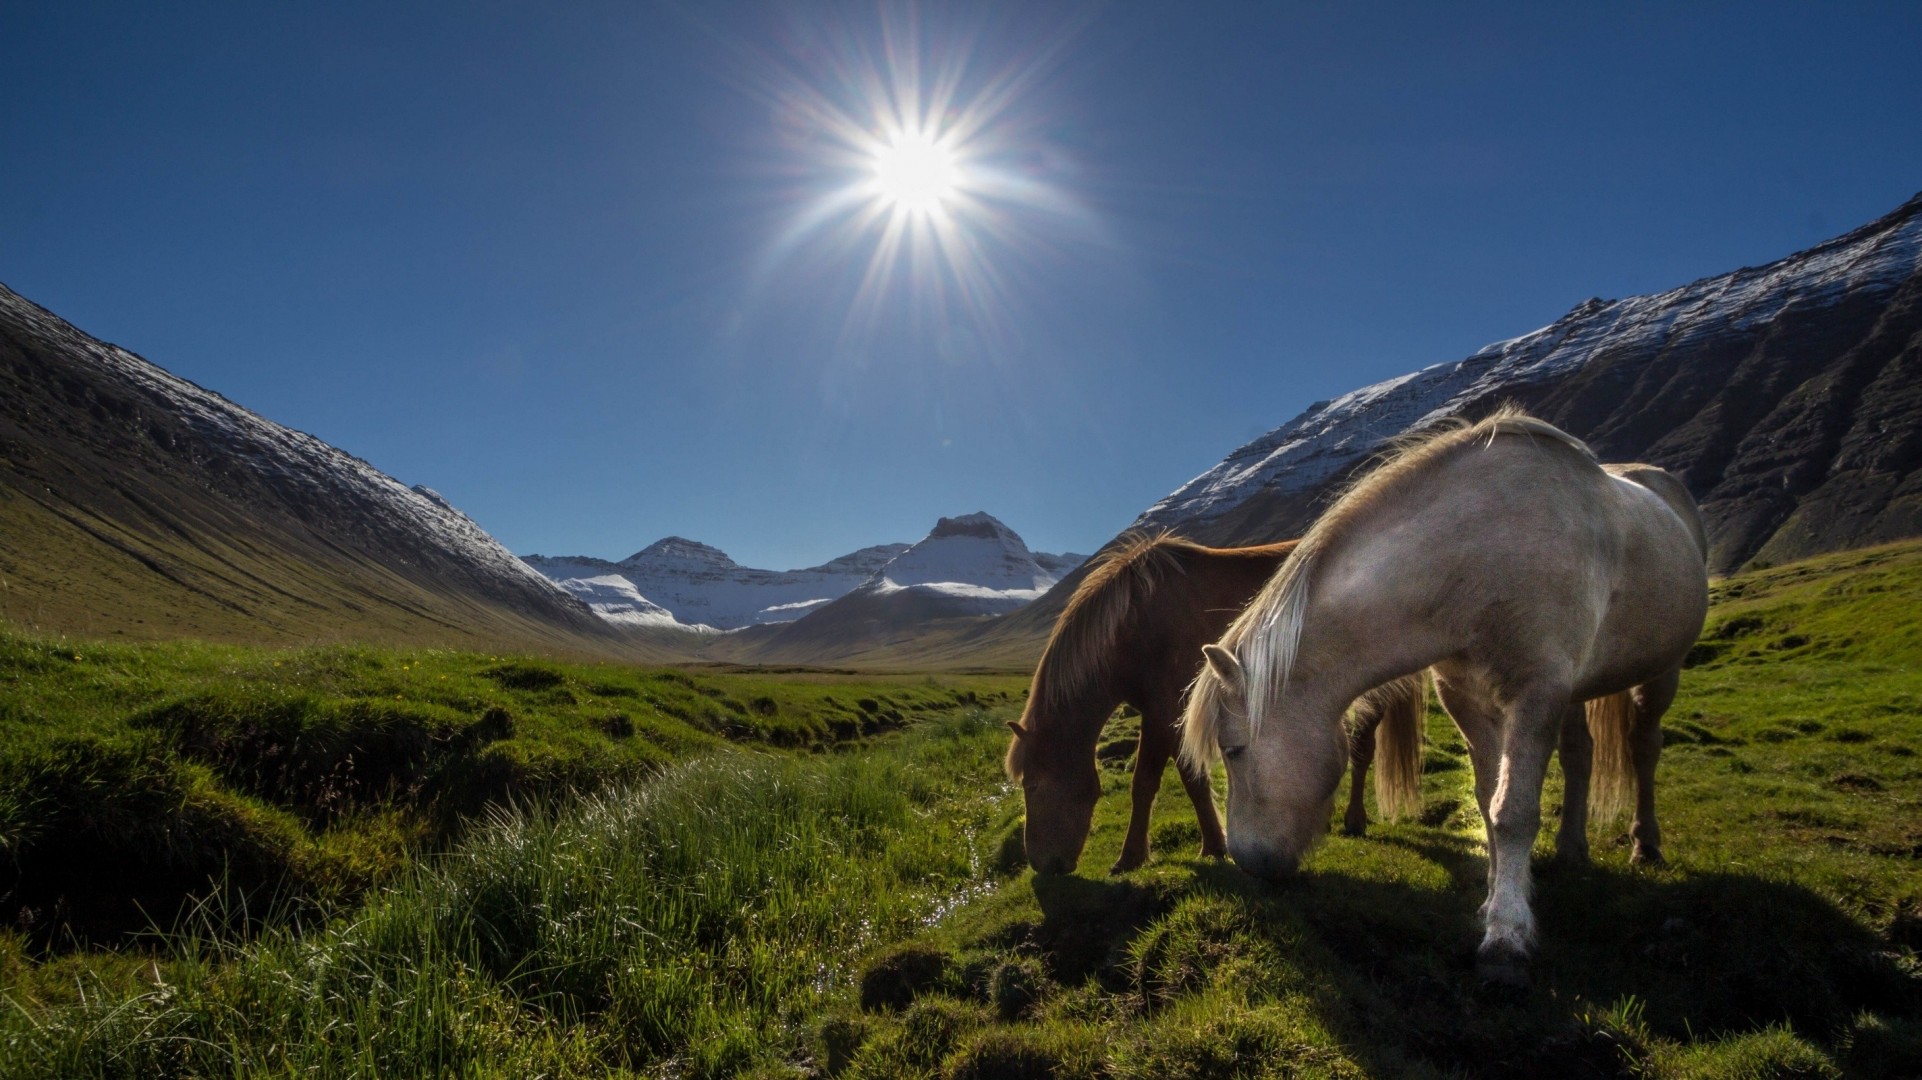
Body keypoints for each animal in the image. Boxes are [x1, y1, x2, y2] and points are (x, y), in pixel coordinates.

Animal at [1004, 532, 1427, 876]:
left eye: (1034, 786)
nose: (1041, 865)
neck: (1135, 626)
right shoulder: (1164, 715)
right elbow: (1183, 779)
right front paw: (1204, 845)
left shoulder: (1163, 713)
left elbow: (1153, 783)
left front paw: (1138, 855)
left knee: (1362, 749)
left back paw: (1354, 819)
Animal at [1180, 409, 1708, 982]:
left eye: (1233, 750)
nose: (1247, 861)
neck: (1474, 557)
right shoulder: (1465, 697)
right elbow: (1487, 799)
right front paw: (1494, 901)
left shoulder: (1538, 691)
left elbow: (1512, 811)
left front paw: (1507, 936)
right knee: (1580, 756)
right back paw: (1572, 849)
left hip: (1661, 673)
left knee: (1644, 749)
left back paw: (1645, 844)